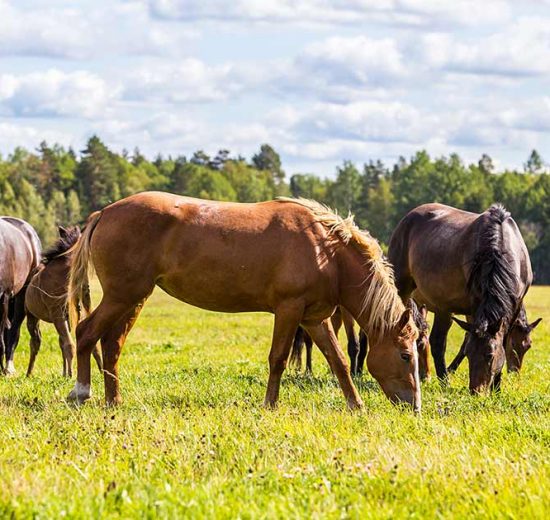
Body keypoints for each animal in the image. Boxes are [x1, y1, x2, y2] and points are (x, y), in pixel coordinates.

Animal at [24, 228, 103, 378]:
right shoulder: (57, 311)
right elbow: (70, 343)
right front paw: (72, 375)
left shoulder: (80, 309)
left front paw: (102, 372)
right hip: (33, 316)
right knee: (36, 342)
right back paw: (29, 373)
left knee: (58, 341)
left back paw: (63, 373)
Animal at [67, 192, 420, 410]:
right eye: (405, 355)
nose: (413, 406)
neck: (325, 251)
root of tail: (104, 213)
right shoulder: (289, 310)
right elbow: (278, 359)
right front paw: (270, 405)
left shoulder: (314, 319)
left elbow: (339, 361)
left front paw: (356, 404)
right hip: (121, 296)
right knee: (85, 333)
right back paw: (81, 392)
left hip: (134, 299)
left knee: (111, 345)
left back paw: (114, 400)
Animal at [388, 205, 536, 392]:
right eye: (470, 354)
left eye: (528, 346)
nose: (476, 391)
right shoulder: (473, 306)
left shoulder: (513, 307)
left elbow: (500, 339)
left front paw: (497, 387)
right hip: (412, 293)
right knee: (434, 341)